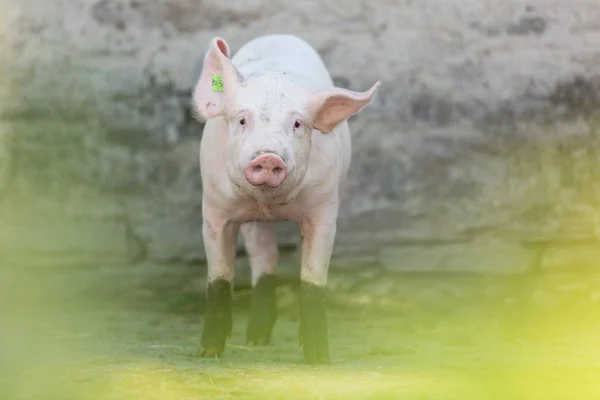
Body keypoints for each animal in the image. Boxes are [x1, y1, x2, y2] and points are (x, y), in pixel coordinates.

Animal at [192, 35, 380, 366]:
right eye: (242, 119)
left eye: (297, 124)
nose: (268, 157)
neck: (270, 204)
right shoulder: (214, 208)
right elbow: (219, 278)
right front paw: (207, 353)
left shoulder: (324, 210)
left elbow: (312, 278)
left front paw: (318, 358)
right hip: (251, 223)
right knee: (264, 259)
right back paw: (255, 341)